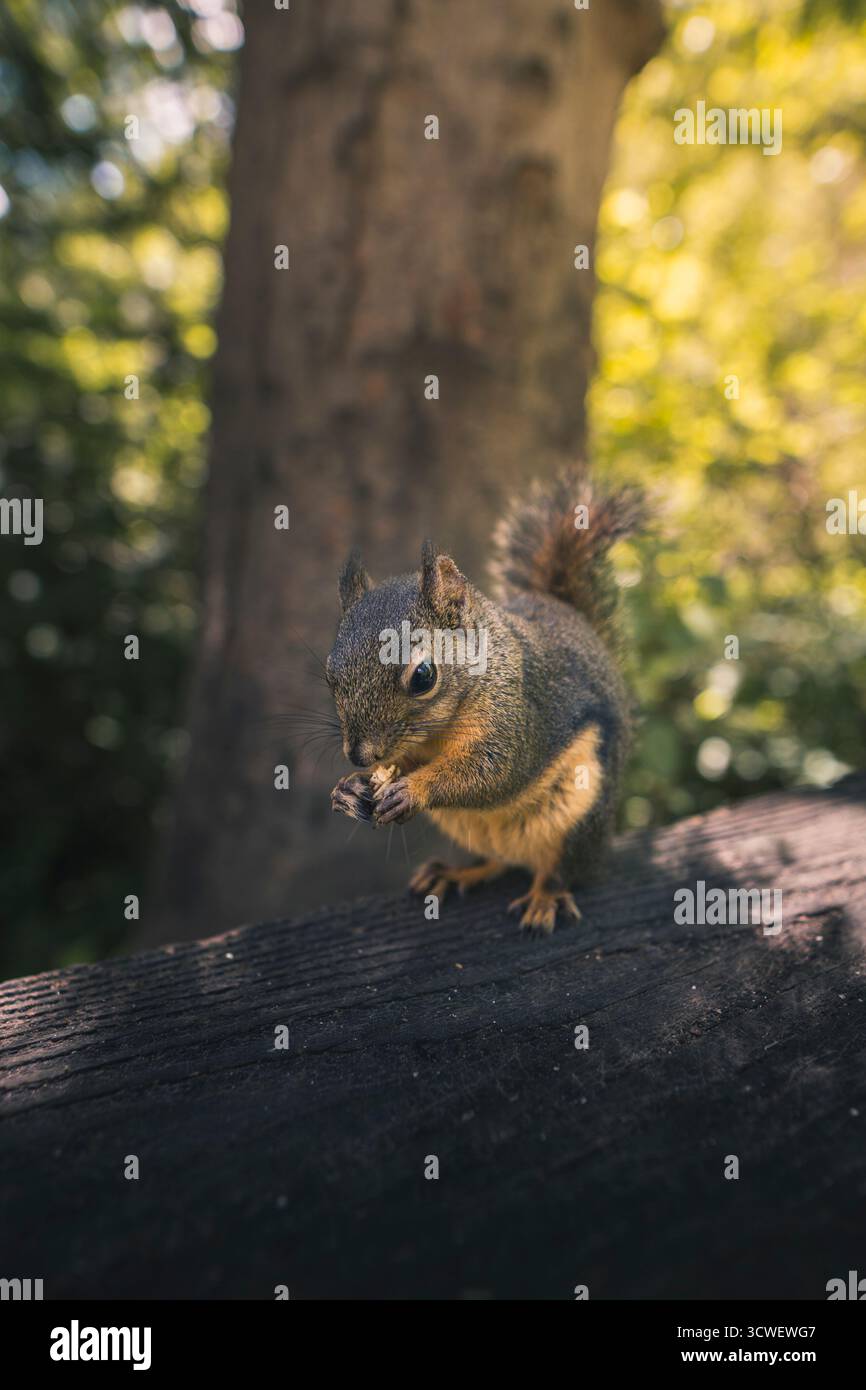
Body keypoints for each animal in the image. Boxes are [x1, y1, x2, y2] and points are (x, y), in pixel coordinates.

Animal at [326, 467, 642, 933]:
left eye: (423, 676)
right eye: (329, 673)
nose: (359, 755)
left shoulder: (518, 715)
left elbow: (496, 771)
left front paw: (413, 790)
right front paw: (348, 789)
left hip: (580, 810)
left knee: (561, 869)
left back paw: (545, 898)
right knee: (495, 861)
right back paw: (456, 872)